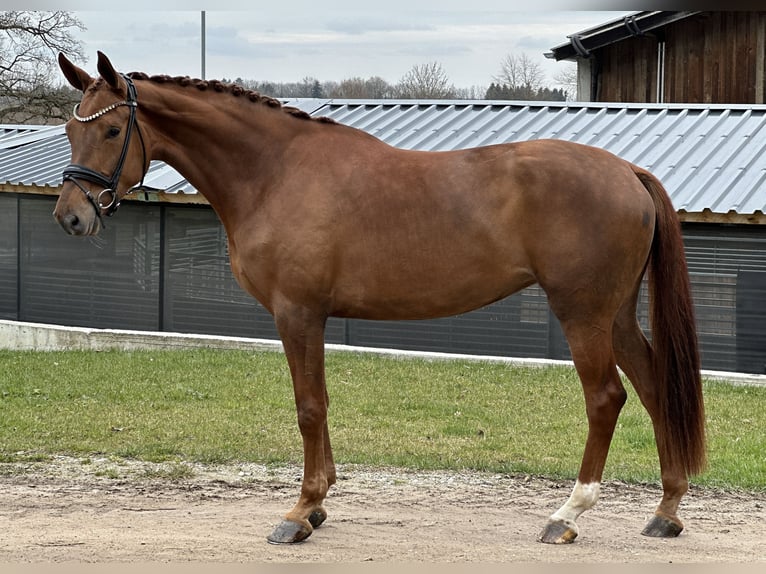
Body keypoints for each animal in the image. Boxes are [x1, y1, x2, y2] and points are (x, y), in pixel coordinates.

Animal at [54, 52, 706, 546]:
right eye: (70, 129)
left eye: (112, 130)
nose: (70, 217)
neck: (275, 171)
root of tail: (626, 170)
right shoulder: (311, 317)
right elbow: (320, 404)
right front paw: (318, 506)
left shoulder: (297, 313)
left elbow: (307, 407)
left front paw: (298, 514)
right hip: (614, 316)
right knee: (654, 388)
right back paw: (666, 511)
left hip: (582, 313)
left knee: (606, 398)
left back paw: (566, 515)